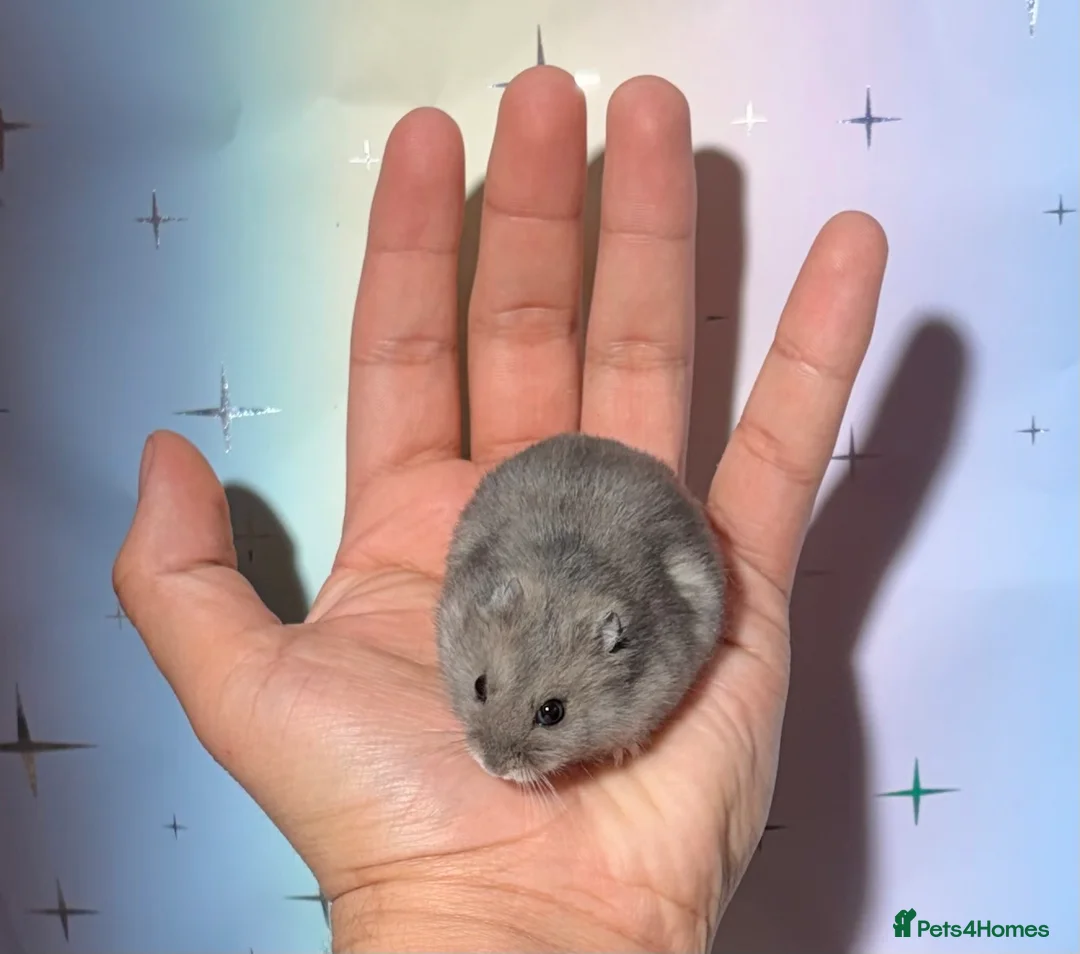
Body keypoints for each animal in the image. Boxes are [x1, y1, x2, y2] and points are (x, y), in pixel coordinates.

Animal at [434, 432, 725, 783]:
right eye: (480, 686)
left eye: (552, 712)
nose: (492, 767)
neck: (564, 589)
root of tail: (610, 444)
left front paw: (622, 754)